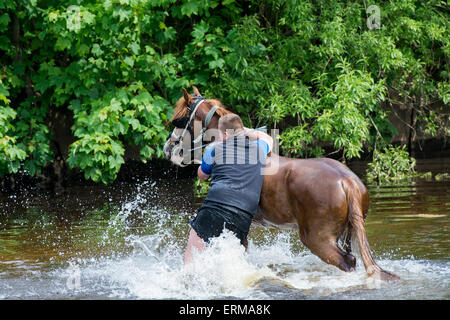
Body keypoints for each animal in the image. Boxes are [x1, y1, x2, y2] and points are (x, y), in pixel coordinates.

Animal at [163, 87, 400, 280]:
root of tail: (347, 181)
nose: (168, 148)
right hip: (346, 235)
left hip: (319, 240)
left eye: (179, 120)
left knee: (347, 262)